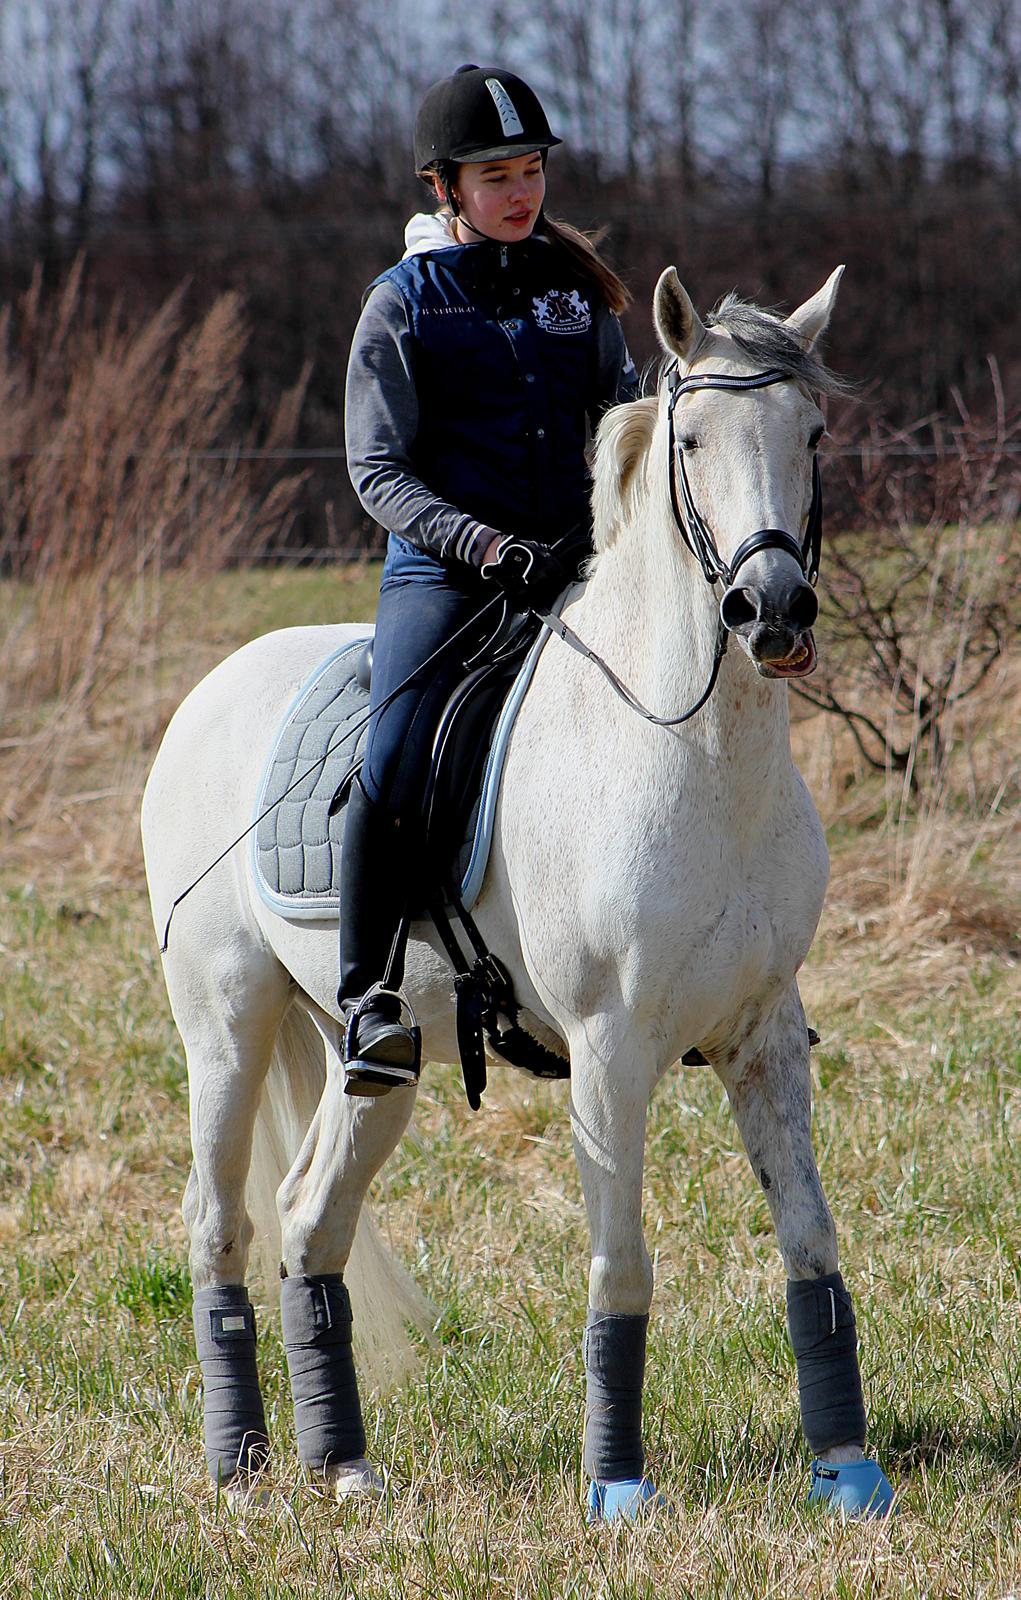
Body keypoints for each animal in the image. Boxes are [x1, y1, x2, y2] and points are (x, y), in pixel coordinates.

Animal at [141, 265, 895, 1521]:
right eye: (692, 438)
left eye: (813, 433)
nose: (772, 611)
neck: (684, 750)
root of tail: (210, 691)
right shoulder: (608, 1047)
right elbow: (621, 1265)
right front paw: (617, 1490)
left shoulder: (762, 1034)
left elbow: (810, 1244)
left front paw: (848, 1473)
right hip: (226, 1028)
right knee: (217, 1225)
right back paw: (240, 1473)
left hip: (373, 1059)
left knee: (309, 1217)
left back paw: (342, 1465)